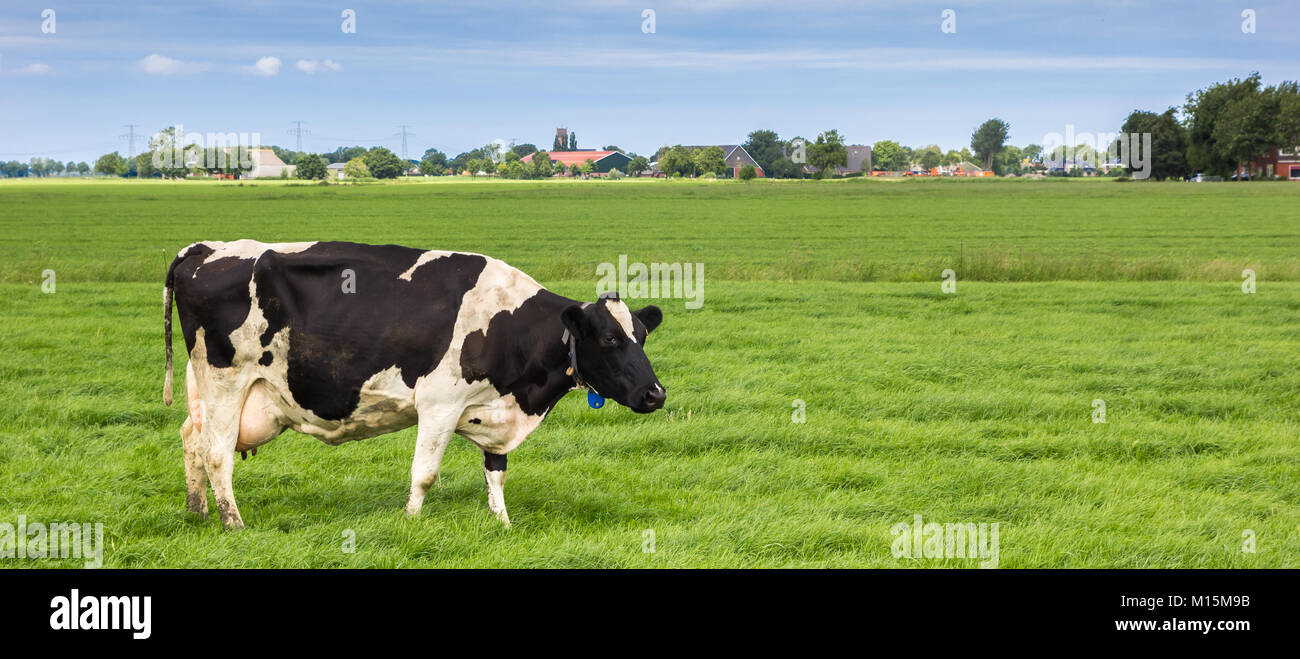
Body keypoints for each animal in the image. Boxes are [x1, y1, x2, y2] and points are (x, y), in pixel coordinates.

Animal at [163, 240, 665, 529]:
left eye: (642, 336)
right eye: (609, 338)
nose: (655, 393)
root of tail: (206, 248)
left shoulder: (496, 410)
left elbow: (496, 471)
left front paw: (502, 525)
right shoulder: (441, 403)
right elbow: (424, 472)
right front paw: (409, 522)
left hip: (206, 386)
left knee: (191, 439)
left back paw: (197, 511)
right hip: (226, 379)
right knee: (216, 452)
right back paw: (233, 523)